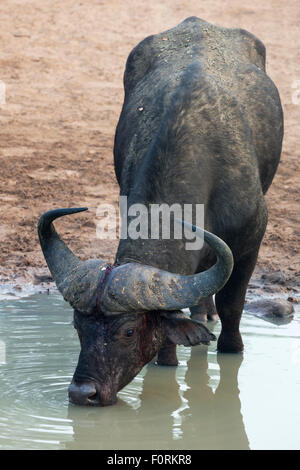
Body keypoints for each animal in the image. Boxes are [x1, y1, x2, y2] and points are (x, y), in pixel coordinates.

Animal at [38, 17, 284, 408]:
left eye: (127, 331)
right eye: (78, 326)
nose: (82, 393)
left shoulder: (252, 240)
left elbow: (233, 305)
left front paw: (232, 349)